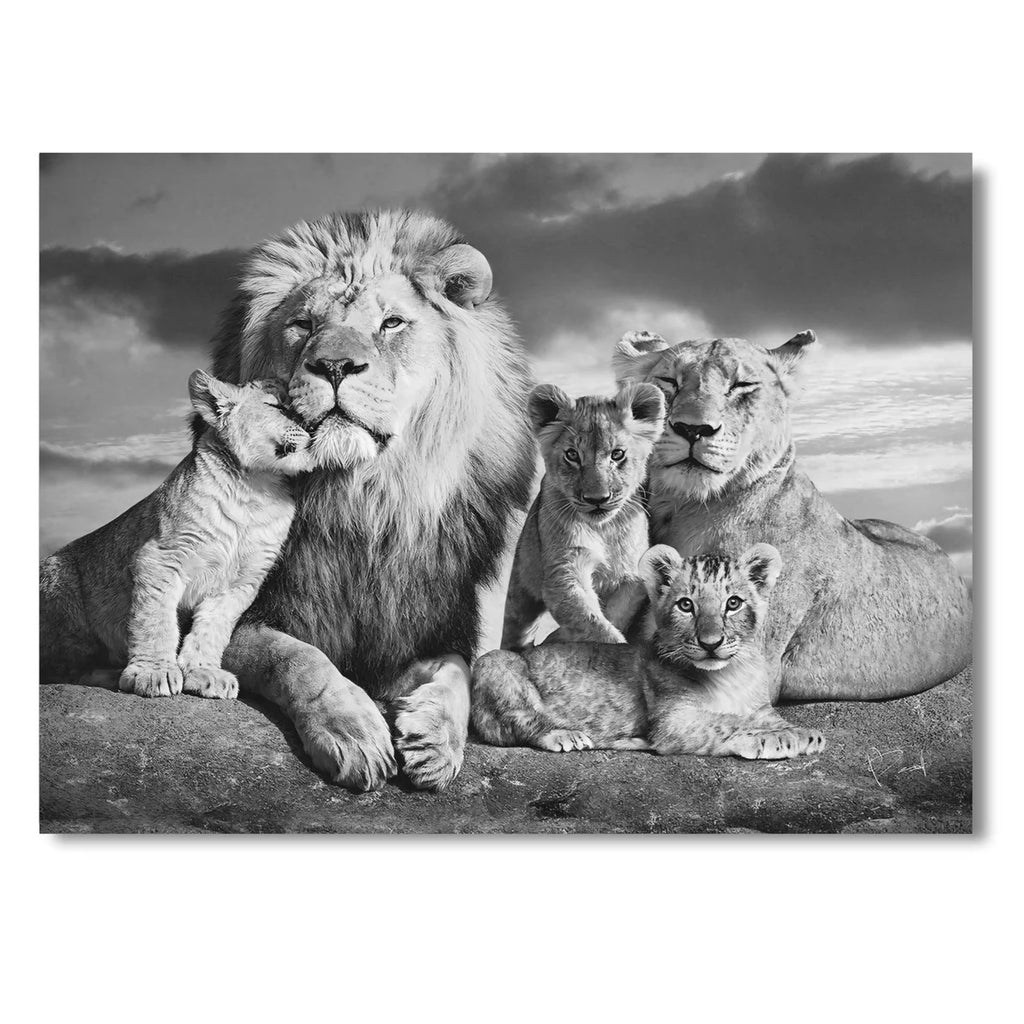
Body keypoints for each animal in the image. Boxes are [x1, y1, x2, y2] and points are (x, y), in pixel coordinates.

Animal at [40, 371, 312, 699]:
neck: (256, 488)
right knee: (60, 668)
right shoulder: (161, 557)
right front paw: (152, 672)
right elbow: (156, 621)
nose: (314, 426)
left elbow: (213, 629)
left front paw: (204, 672)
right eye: (277, 406)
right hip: (60, 580)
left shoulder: (241, 581)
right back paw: (112, 674)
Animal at [190, 209, 537, 792]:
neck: (365, 503)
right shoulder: (241, 616)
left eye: (391, 324)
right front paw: (353, 733)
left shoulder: (427, 624)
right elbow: (297, 656)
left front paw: (435, 742)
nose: (334, 366)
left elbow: (459, 673)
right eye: (304, 325)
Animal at [474, 543, 825, 759]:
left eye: (733, 603)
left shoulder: (762, 709)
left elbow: (770, 719)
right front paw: (780, 739)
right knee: (519, 722)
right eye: (686, 605)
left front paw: (803, 733)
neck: (732, 675)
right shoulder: (673, 722)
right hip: (496, 663)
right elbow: (726, 722)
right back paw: (566, 735)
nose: (710, 643)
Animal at [501, 381, 665, 649]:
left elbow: (613, 614)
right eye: (572, 455)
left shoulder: (632, 577)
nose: (597, 499)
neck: (603, 529)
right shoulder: (564, 570)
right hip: (521, 588)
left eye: (617, 454)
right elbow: (589, 621)